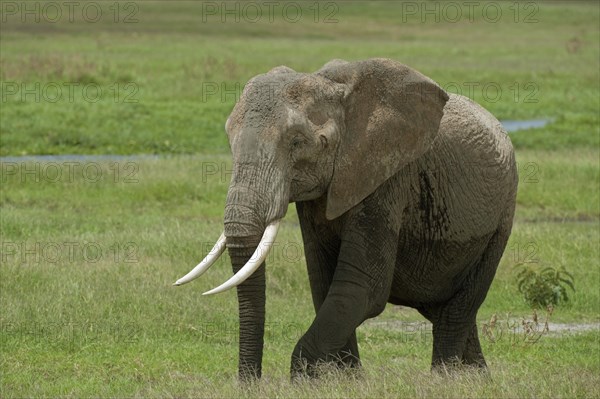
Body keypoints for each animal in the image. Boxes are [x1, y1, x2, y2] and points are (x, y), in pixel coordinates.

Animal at [175, 57, 520, 380]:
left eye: (298, 142)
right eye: (229, 139)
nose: (251, 383)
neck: (333, 87)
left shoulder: (384, 177)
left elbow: (359, 289)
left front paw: (308, 381)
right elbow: (324, 284)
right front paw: (347, 380)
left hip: (502, 217)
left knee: (457, 310)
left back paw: (445, 379)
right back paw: (477, 377)